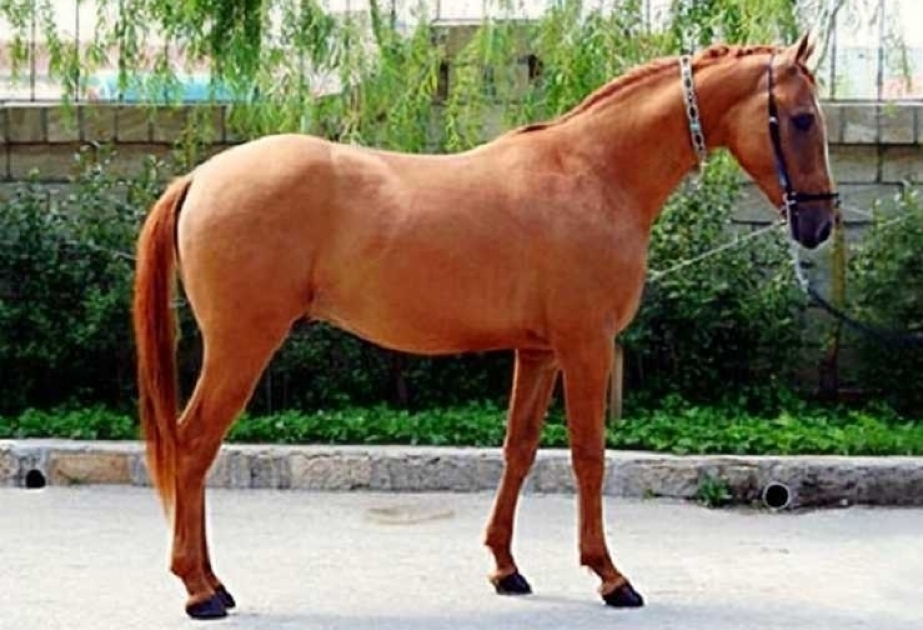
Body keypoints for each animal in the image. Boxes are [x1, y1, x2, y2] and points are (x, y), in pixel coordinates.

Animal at [133, 33, 839, 619]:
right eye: (802, 118)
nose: (819, 224)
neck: (592, 171)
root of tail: (202, 176)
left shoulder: (540, 351)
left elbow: (519, 450)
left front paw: (506, 569)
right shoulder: (586, 345)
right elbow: (588, 456)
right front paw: (610, 577)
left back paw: (213, 583)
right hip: (242, 345)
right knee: (193, 446)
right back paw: (198, 591)